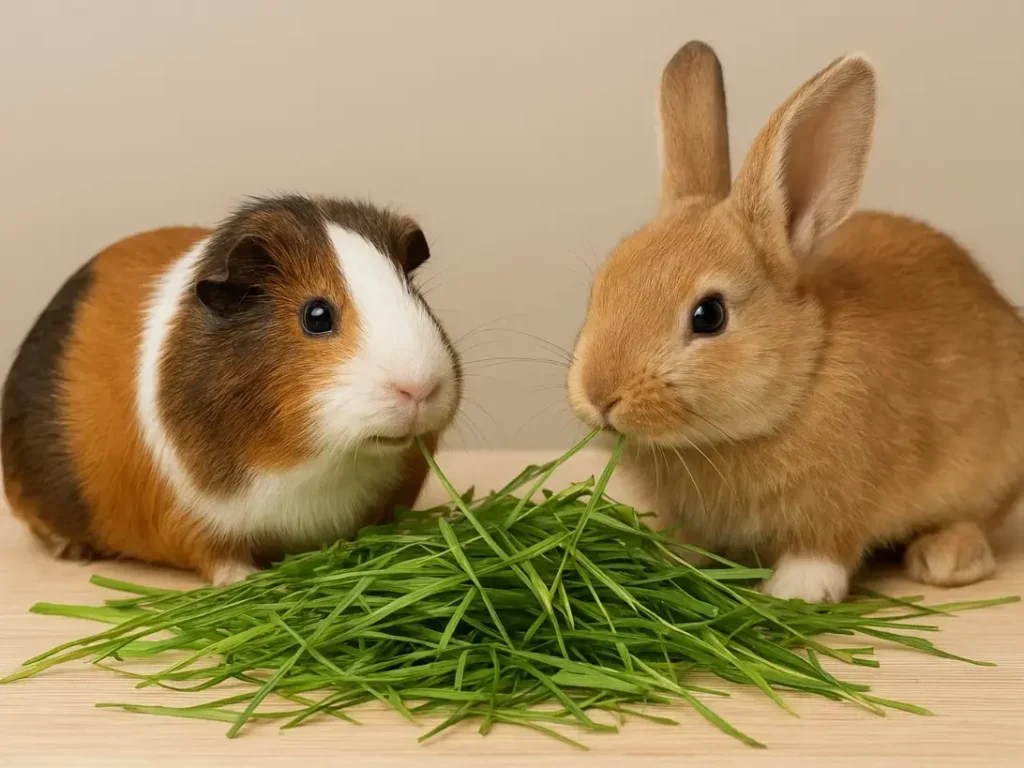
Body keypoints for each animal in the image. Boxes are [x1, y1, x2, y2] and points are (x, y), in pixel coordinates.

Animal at [2, 194, 461, 586]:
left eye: (415, 295)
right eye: (316, 315)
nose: (421, 388)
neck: (320, 463)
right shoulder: (190, 521)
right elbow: (219, 557)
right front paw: (250, 582)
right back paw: (74, 552)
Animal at [566, 41, 1024, 603]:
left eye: (709, 315)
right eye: (602, 286)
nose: (599, 395)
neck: (802, 379)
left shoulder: (840, 503)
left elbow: (821, 551)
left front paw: (792, 593)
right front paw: (672, 563)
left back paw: (945, 559)